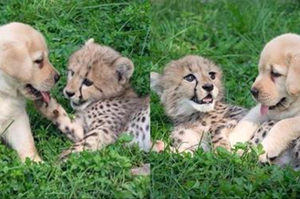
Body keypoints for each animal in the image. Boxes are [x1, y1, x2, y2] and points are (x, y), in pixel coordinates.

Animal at [230, 33, 300, 162]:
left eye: (275, 73)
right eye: (260, 70)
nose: (253, 91)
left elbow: (284, 124)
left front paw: (267, 147)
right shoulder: (264, 108)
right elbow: (250, 118)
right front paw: (233, 140)